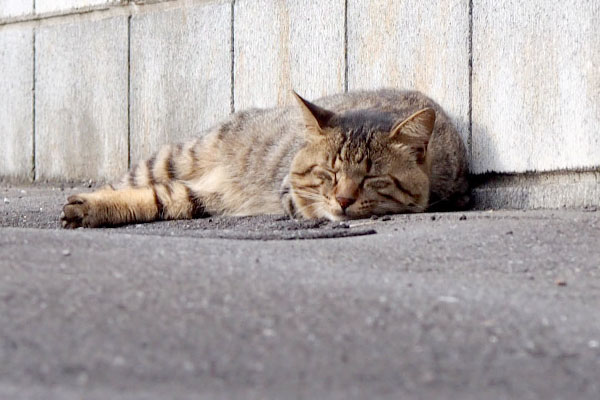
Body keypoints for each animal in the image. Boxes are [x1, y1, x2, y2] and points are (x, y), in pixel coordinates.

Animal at [59, 89, 468, 230]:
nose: (343, 200)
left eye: (371, 179)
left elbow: (162, 200)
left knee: (165, 195)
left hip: (202, 191)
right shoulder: (291, 188)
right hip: (176, 158)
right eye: (328, 173)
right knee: (134, 181)